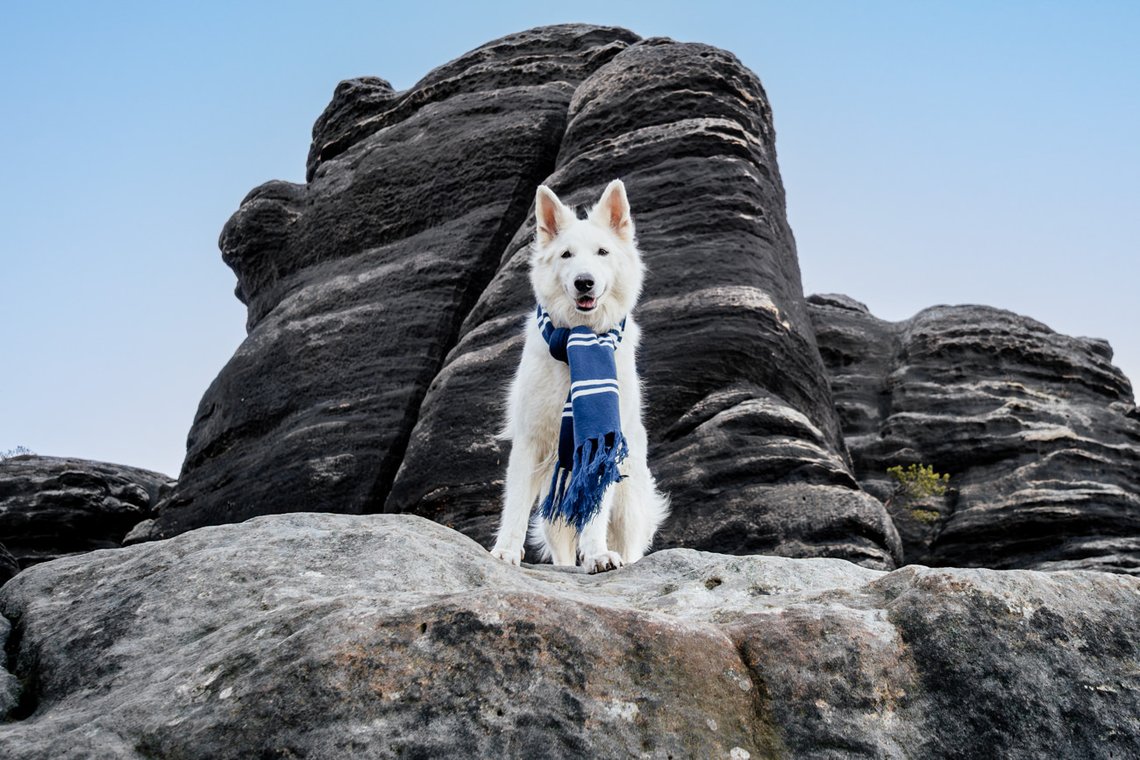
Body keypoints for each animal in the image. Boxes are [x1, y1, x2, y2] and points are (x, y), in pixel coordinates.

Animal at [487, 180, 665, 569]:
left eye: (602, 252)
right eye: (566, 255)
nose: (585, 282)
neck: (577, 342)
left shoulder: (604, 449)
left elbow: (595, 517)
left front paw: (598, 554)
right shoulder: (529, 442)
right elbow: (515, 506)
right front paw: (506, 551)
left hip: (628, 499)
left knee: (629, 543)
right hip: (554, 512)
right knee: (563, 552)